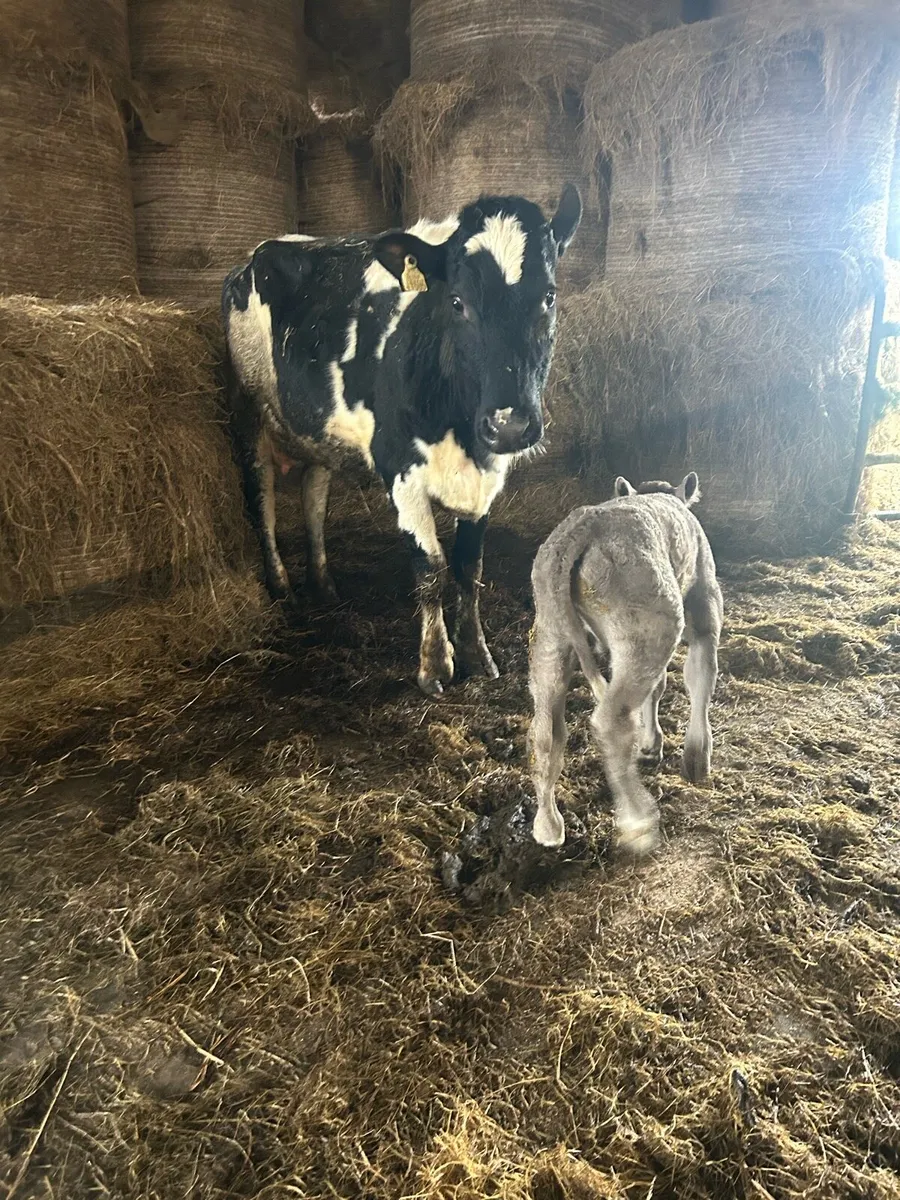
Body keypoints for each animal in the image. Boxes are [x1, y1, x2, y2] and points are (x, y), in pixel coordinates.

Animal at [222, 187, 582, 697]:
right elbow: (430, 567)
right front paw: (435, 665)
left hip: (317, 429)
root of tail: (256, 255)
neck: (460, 431)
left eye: (548, 296)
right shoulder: (400, 468)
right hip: (247, 413)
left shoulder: (487, 475)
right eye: (457, 301)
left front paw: (476, 654)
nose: (509, 424)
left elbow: (469, 568)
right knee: (262, 500)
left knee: (313, 496)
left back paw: (323, 583)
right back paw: (282, 587)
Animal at [526, 472, 724, 854]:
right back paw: (638, 821)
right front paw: (697, 758)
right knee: (611, 721)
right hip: (649, 629)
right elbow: (700, 677)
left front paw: (651, 746)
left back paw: (547, 825)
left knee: (546, 731)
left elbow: (659, 688)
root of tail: (586, 524)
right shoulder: (705, 605)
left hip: (551, 636)